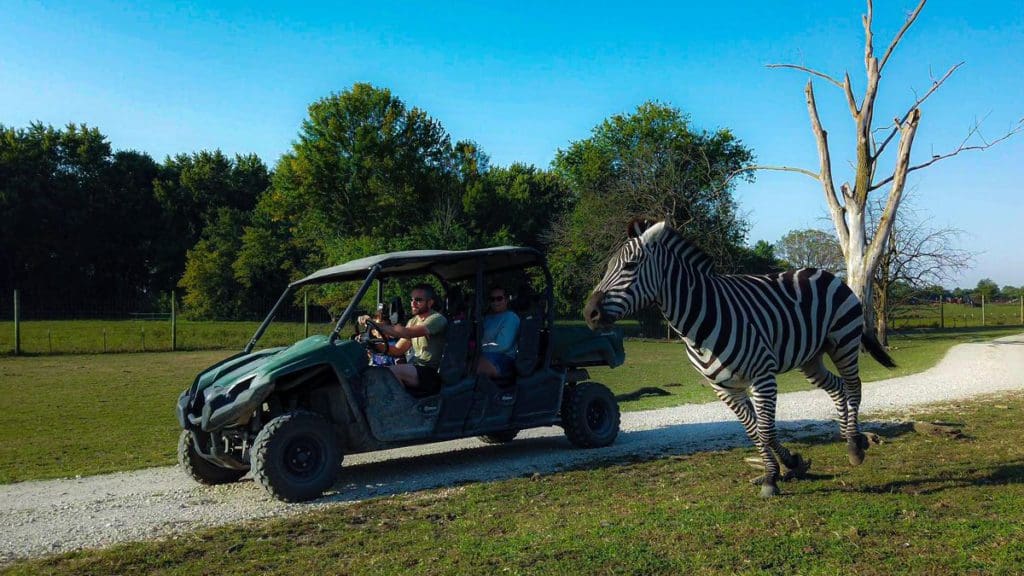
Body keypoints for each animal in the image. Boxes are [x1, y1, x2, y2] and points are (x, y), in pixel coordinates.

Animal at [585, 217, 897, 496]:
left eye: (629, 266)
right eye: (608, 267)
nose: (589, 313)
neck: (699, 324)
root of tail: (825, 273)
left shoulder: (763, 377)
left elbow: (766, 430)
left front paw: (772, 478)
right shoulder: (724, 388)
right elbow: (754, 431)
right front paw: (786, 465)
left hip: (843, 341)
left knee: (854, 386)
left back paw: (855, 446)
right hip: (810, 359)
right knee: (838, 387)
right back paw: (849, 436)